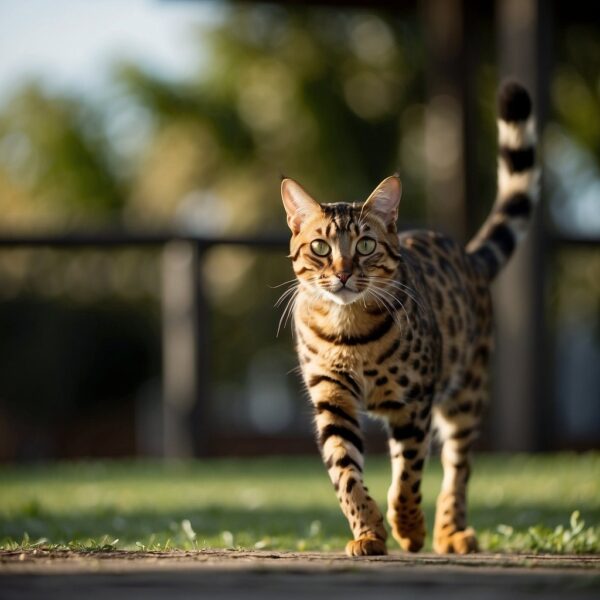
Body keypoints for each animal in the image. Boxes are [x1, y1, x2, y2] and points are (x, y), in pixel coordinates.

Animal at [282, 82, 540, 556]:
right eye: (321, 248)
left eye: (365, 245)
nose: (343, 272)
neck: (349, 330)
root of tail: (468, 255)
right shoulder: (331, 397)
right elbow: (346, 475)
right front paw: (368, 533)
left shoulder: (413, 401)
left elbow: (407, 476)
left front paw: (408, 529)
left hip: (466, 394)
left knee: (458, 468)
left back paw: (450, 532)